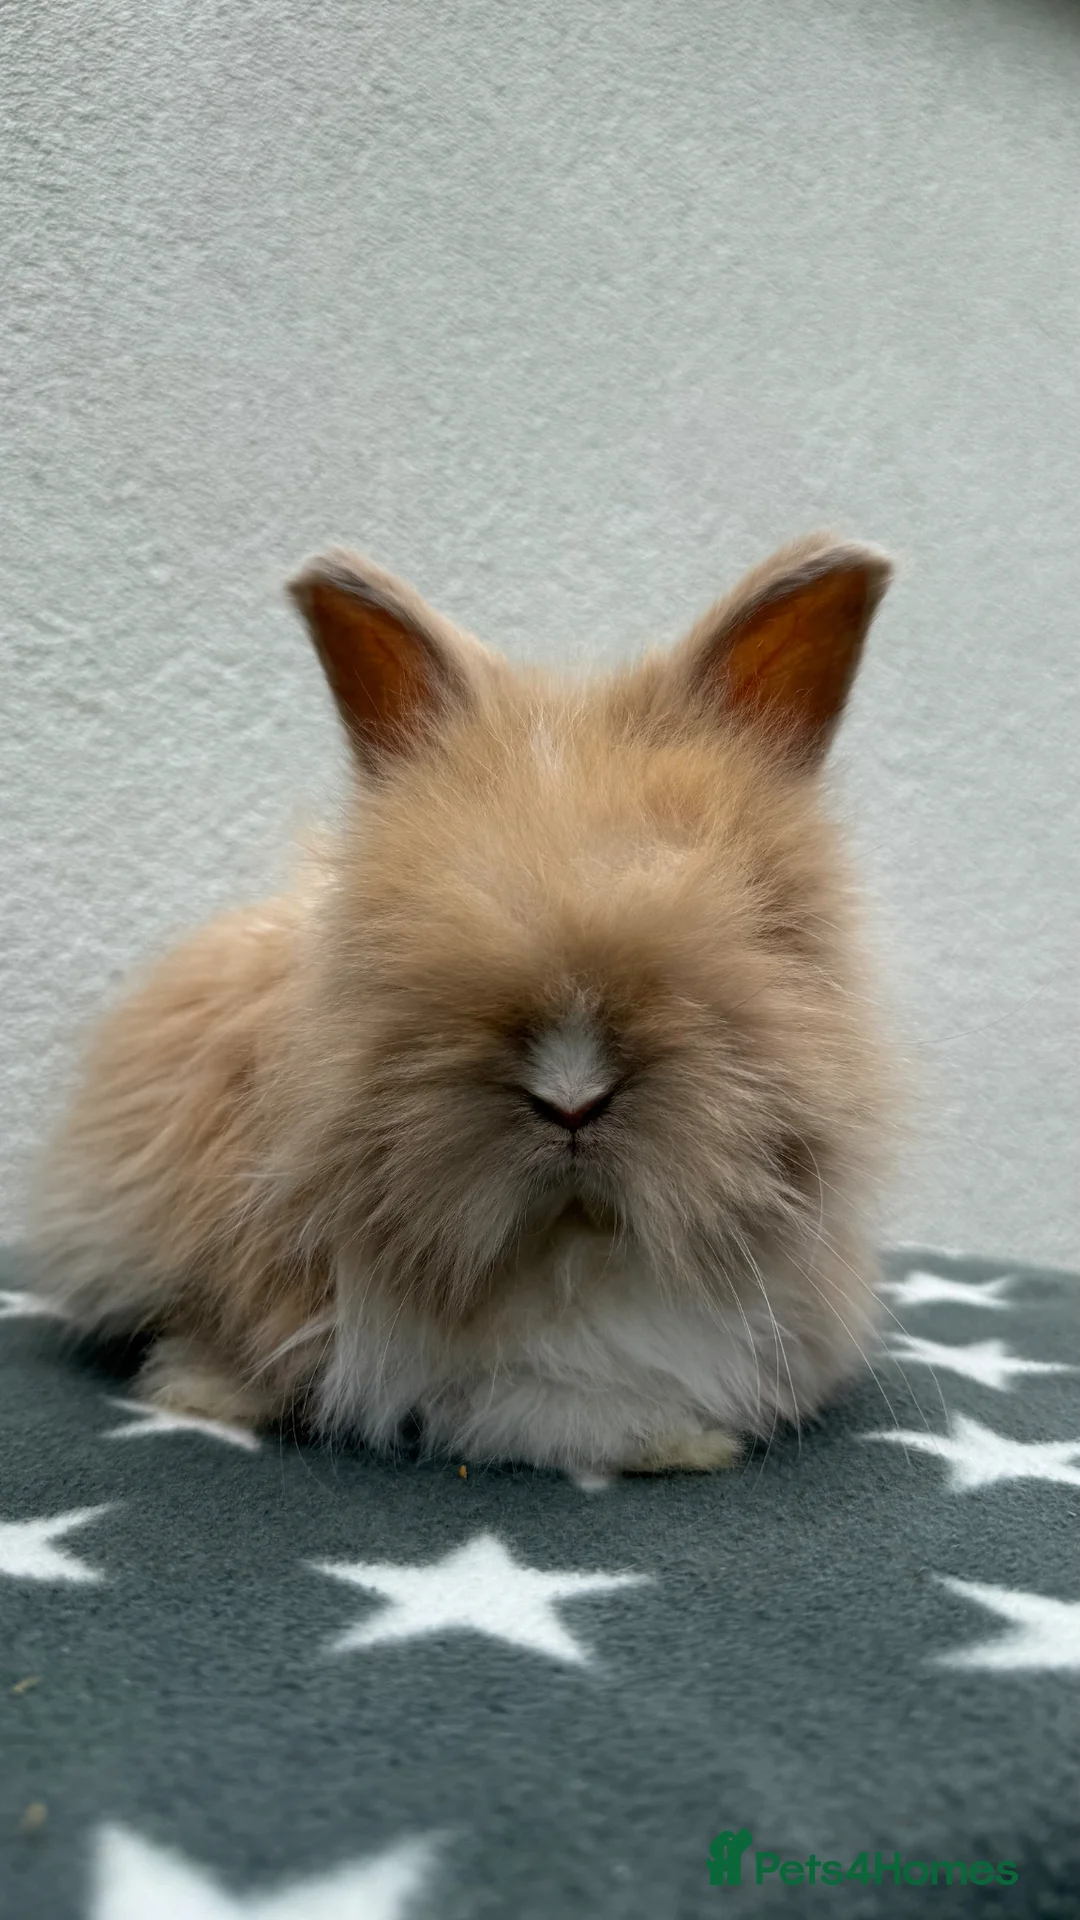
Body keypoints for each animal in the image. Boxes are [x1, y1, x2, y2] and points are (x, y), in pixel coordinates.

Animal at [30, 532, 896, 1475]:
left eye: (752, 916)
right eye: (414, 922)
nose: (571, 1098)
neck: (569, 1254)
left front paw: (685, 1441)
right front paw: (673, 1442)